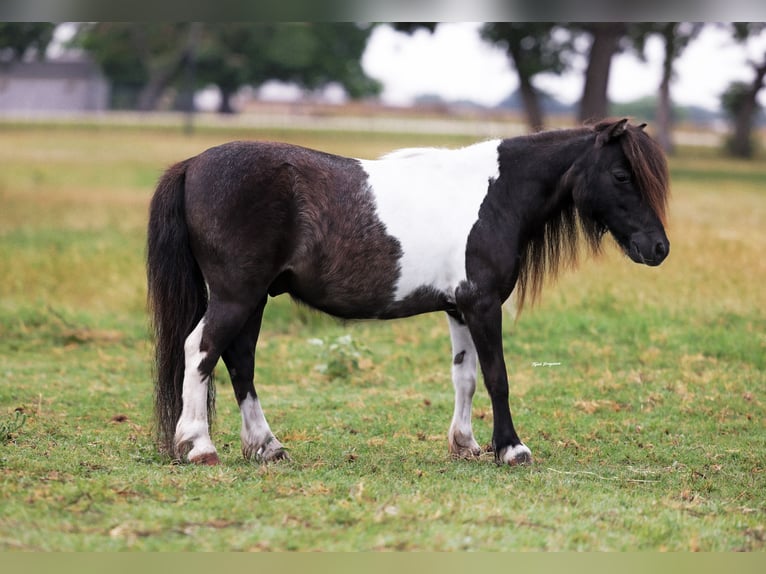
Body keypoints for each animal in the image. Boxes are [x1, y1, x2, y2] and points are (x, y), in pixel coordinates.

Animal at [147, 118, 670, 467]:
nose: (659, 248)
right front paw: (511, 448)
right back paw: (199, 446)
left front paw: (466, 444)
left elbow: (466, 377)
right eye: (622, 175)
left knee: (239, 361)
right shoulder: (483, 304)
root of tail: (193, 165)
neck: (495, 193)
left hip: (253, 298)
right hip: (236, 295)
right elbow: (497, 375)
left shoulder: (459, 308)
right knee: (200, 350)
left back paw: (266, 446)